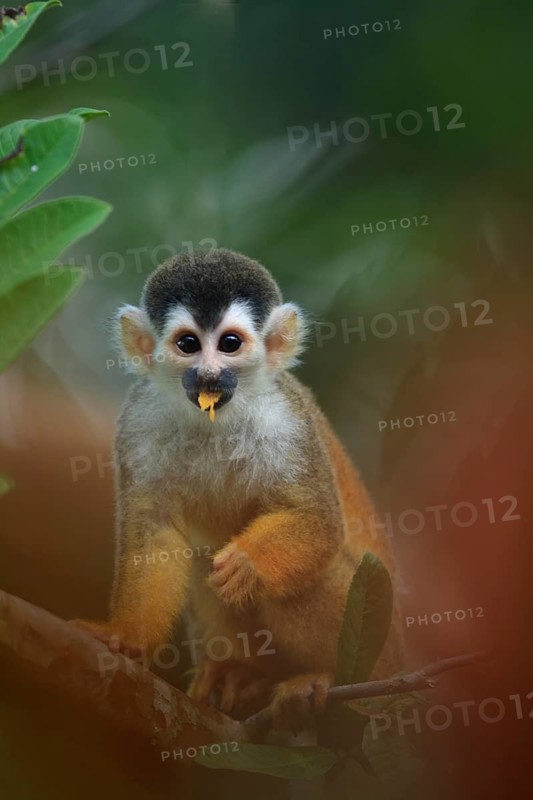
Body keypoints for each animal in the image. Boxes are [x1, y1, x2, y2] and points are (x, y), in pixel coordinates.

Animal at [74, 248, 402, 729]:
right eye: (188, 345)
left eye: (230, 343)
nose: (209, 376)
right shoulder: (137, 420)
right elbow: (156, 533)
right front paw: (124, 637)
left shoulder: (287, 420)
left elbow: (318, 519)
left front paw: (248, 564)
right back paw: (240, 671)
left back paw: (323, 681)